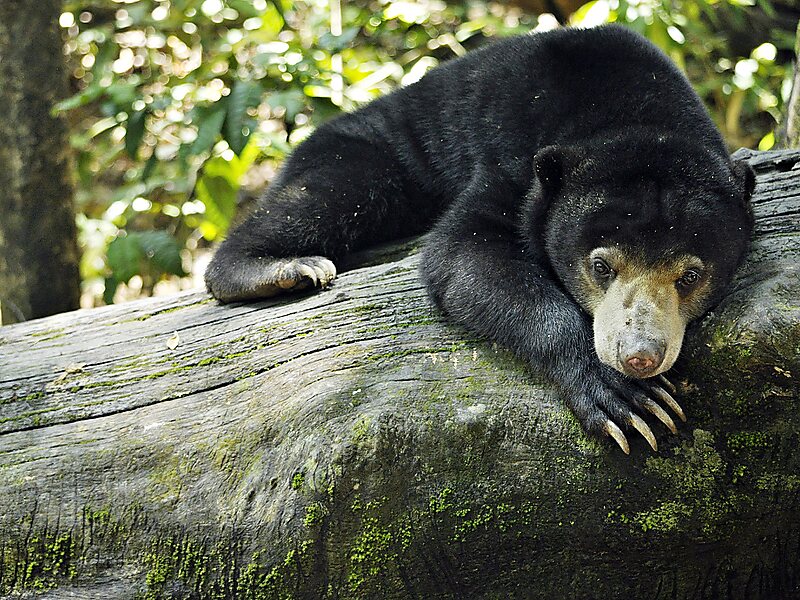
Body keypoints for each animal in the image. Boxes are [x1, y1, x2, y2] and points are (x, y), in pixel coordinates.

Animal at [204, 24, 755, 454]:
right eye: (601, 266)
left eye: (690, 275)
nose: (639, 356)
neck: (631, 111)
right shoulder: (513, 157)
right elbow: (461, 251)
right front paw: (627, 399)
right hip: (364, 153)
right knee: (331, 194)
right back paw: (283, 270)